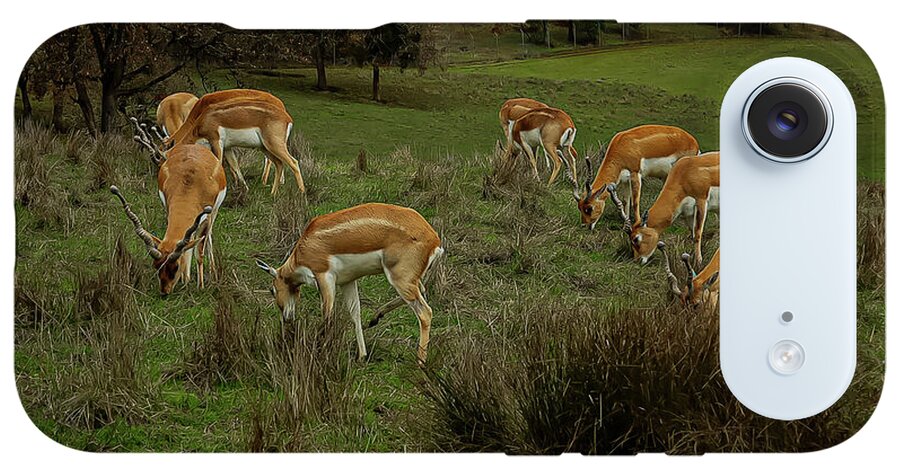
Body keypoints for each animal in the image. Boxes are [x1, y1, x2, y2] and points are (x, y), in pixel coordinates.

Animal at [111, 120, 227, 295]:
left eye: (175, 267)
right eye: (157, 266)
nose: (165, 291)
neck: (190, 184)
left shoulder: (206, 216)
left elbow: (199, 251)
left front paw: (200, 286)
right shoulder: (169, 208)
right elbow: (187, 245)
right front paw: (186, 280)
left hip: (214, 212)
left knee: (208, 236)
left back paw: (212, 270)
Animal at [164, 89, 302, 195]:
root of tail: (287, 117)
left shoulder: (216, 142)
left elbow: (219, 164)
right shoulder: (228, 148)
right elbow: (234, 165)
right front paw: (243, 188)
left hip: (273, 145)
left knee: (293, 162)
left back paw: (300, 193)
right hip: (265, 147)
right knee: (279, 163)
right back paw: (273, 192)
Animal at [255, 203, 444, 364]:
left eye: (272, 290)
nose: (287, 318)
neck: (304, 247)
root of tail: (434, 240)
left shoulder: (324, 277)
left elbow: (328, 315)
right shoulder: (348, 281)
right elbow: (355, 313)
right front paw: (362, 355)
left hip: (399, 279)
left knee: (425, 312)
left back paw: (420, 361)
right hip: (408, 280)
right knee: (421, 292)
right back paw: (375, 318)